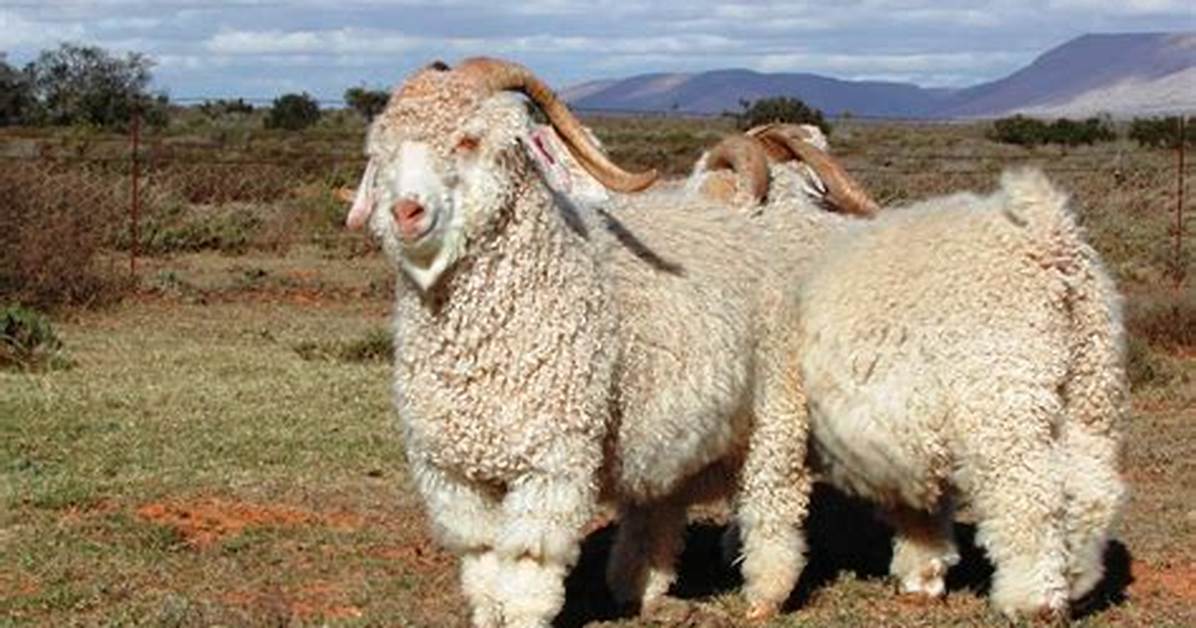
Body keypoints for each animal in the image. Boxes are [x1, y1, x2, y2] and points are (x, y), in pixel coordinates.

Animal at [345, 57, 813, 627]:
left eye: (468, 140)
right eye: (382, 151)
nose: (406, 212)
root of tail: (742, 215)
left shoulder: (552, 463)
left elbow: (526, 569)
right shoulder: (453, 474)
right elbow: (483, 562)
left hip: (776, 408)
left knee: (774, 499)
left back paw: (765, 595)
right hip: (667, 429)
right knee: (657, 507)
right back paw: (642, 590)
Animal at [688, 130, 1128, 618]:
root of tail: (1049, 238)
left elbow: (759, 495)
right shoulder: (908, 435)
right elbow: (922, 510)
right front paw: (923, 577)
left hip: (1003, 408)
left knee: (1030, 496)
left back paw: (1033, 602)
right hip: (1089, 391)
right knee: (1091, 487)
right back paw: (1078, 580)